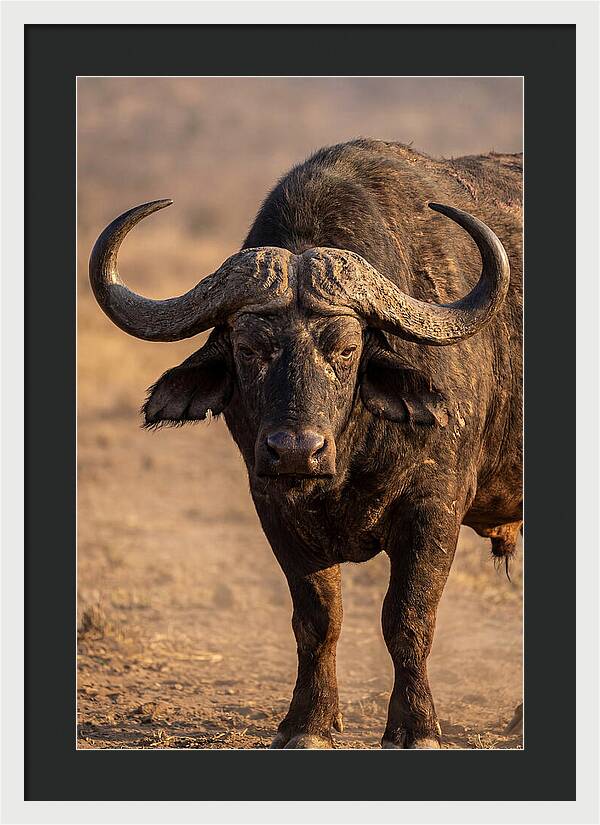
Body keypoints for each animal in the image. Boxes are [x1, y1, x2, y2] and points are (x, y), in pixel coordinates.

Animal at [89, 139, 522, 749]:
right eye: (249, 347)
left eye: (345, 348)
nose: (295, 450)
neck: (348, 457)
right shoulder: (273, 507)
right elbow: (317, 620)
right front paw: (309, 723)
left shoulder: (434, 509)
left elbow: (408, 618)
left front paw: (416, 726)